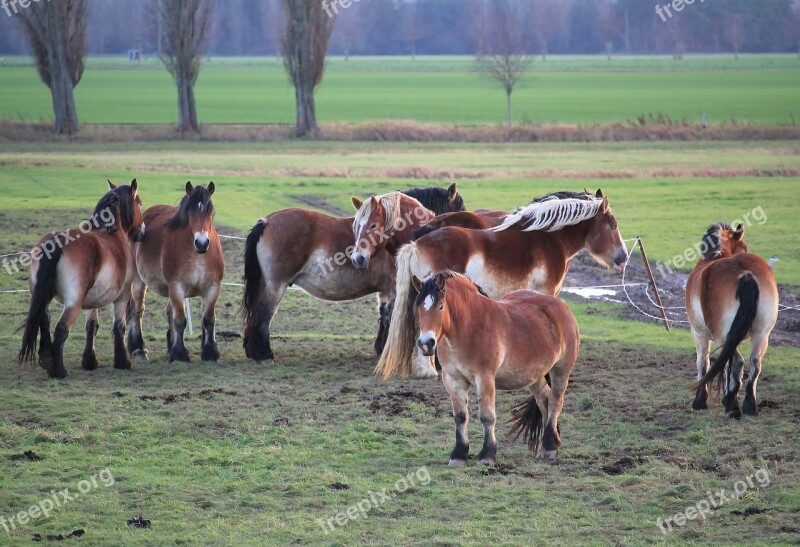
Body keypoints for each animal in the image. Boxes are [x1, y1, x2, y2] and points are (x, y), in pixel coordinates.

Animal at [18, 182, 145, 378]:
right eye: (140, 203)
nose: (142, 231)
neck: (112, 234)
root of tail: (58, 240)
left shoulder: (92, 301)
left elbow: (91, 327)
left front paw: (89, 361)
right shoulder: (122, 297)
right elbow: (119, 327)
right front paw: (122, 361)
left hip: (43, 297)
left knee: (44, 321)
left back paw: (46, 358)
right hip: (73, 303)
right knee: (61, 329)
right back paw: (58, 371)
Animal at [126, 182, 223, 366]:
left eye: (210, 211)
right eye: (190, 213)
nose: (202, 243)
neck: (197, 255)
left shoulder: (212, 287)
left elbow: (208, 319)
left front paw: (210, 353)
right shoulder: (177, 287)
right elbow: (180, 320)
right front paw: (179, 354)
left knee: (168, 312)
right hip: (138, 280)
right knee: (137, 310)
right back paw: (138, 349)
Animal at [239, 186, 462, 362]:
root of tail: (266, 221)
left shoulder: (384, 291)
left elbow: (384, 317)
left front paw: (380, 348)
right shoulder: (395, 289)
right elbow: (390, 318)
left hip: (264, 283)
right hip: (276, 285)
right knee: (264, 314)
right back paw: (264, 354)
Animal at [378, 191, 628, 378]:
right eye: (613, 225)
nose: (623, 257)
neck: (549, 238)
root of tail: (416, 244)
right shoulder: (546, 292)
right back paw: (428, 370)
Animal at [382, 272, 580, 464]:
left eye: (440, 307)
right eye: (418, 308)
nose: (426, 344)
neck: (467, 328)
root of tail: (561, 305)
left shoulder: (485, 378)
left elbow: (487, 416)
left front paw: (487, 455)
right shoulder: (452, 379)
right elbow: (460, 416)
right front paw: (459, 454)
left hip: (561, 370)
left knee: (555, 401)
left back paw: (549, 447)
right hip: (533, 375)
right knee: (544, 400)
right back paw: (548, 445)